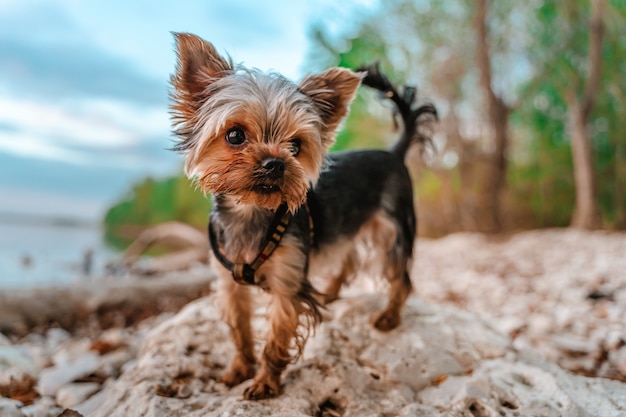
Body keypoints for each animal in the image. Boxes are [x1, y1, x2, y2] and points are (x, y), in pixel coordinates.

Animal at [168, 33, 436, 400]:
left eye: (295, 146)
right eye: (234, 135)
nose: (275, 163)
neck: (251, 212)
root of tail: (394, 153)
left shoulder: (287, 282)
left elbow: (277, 337)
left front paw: (265, 382)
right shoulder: (229, 284)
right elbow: (239, 329)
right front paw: (239, 369)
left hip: (391, 230)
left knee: (401, 277)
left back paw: (389, 317)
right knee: (348, 258)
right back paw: (331, 293)